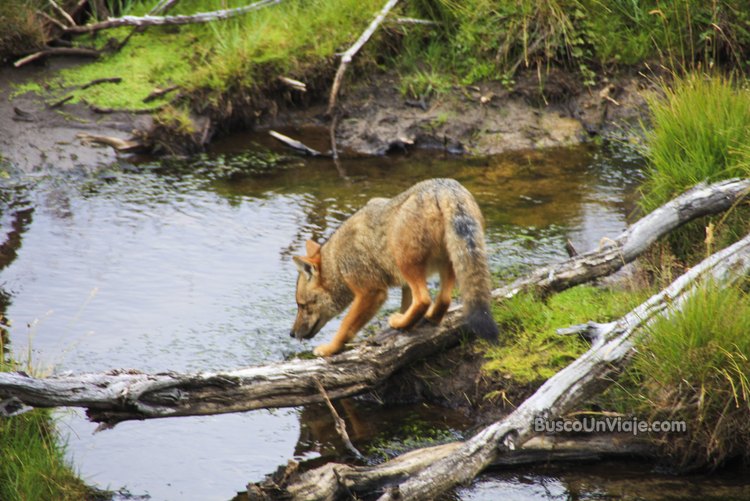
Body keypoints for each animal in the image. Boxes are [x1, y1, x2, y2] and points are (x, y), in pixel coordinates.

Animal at [292, 177, 500, 356]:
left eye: (302, 305)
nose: (291, 334)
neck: (336, 261)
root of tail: (445, 188)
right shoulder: (402, 284)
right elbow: (406, 304)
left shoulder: (371, 292)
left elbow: (346, 327)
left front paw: (330, 349)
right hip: (447, 265)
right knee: (443, 300)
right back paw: (424, 320)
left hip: (406, 263)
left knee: (423, 300)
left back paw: (400, 324)